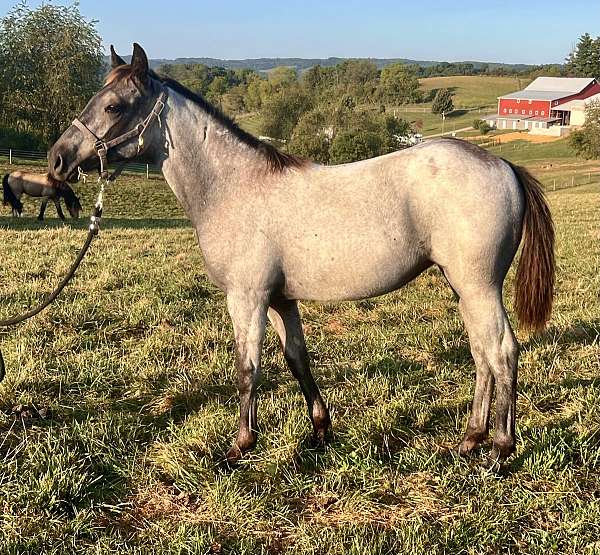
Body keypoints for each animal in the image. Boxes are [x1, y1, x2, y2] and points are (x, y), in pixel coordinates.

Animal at [45, 45, 552, 466]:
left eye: (113, 106)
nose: (57, 159)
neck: (235, 186)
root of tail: (503, 165)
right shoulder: (280, 299)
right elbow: (296, 358)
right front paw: (320, 431)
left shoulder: (247, 297)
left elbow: (247, 367)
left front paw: (241, 445)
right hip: (462, 287)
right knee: (481, 353)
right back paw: (470, 439)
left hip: (479, 287)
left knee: (502, 351)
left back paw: (501, 449)